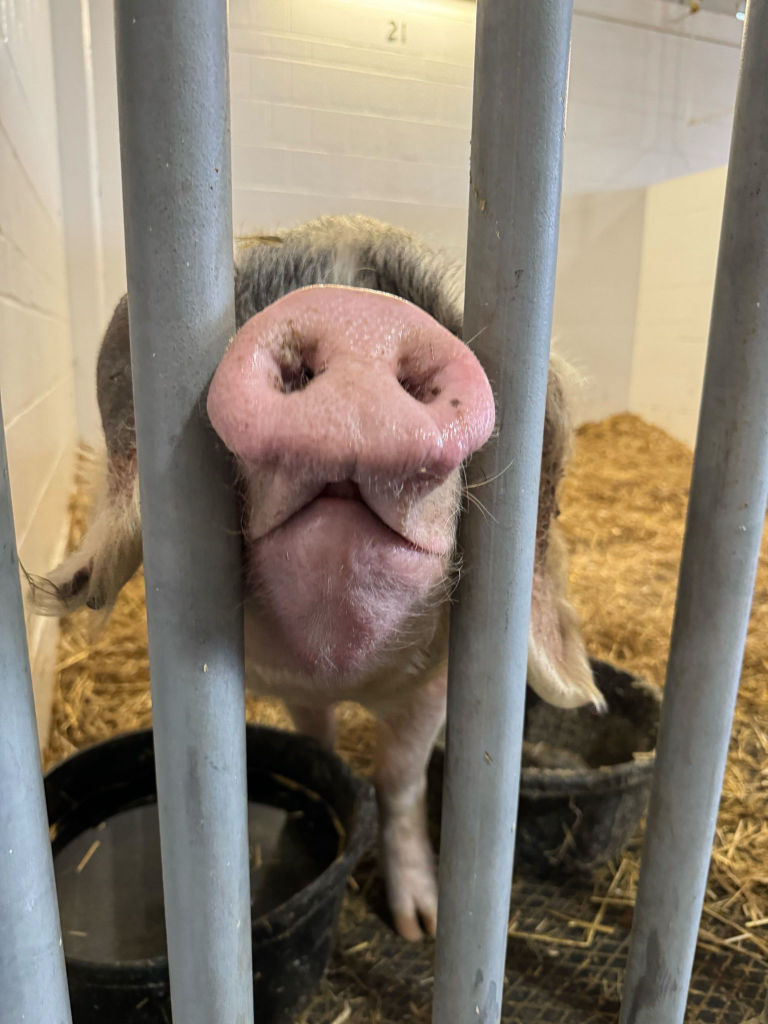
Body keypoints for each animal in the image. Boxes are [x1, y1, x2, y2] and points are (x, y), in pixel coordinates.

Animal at [33, 215, 602, 941]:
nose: (360, 315)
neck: (344, 673)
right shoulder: (292, 689)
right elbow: (318, 743)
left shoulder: (436, 685)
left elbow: (400, 778)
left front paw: (420, 927)